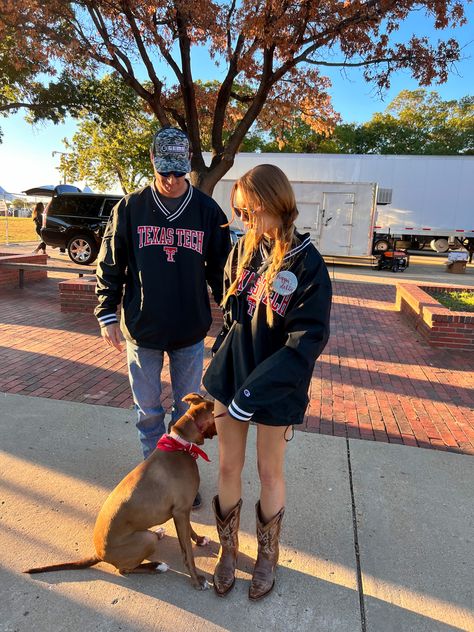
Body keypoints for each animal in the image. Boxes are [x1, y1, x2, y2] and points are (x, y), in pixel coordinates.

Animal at [25, 392, 217, 592]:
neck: (180, 444)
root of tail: (99, 554)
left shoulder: (183, 510)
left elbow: (190, 530)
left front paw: (200, 540)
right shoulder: (180, 511)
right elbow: (187, 552)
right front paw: (196, 580)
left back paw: (159, 533)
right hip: (145, 540)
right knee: (124, 570)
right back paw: (157, 566)